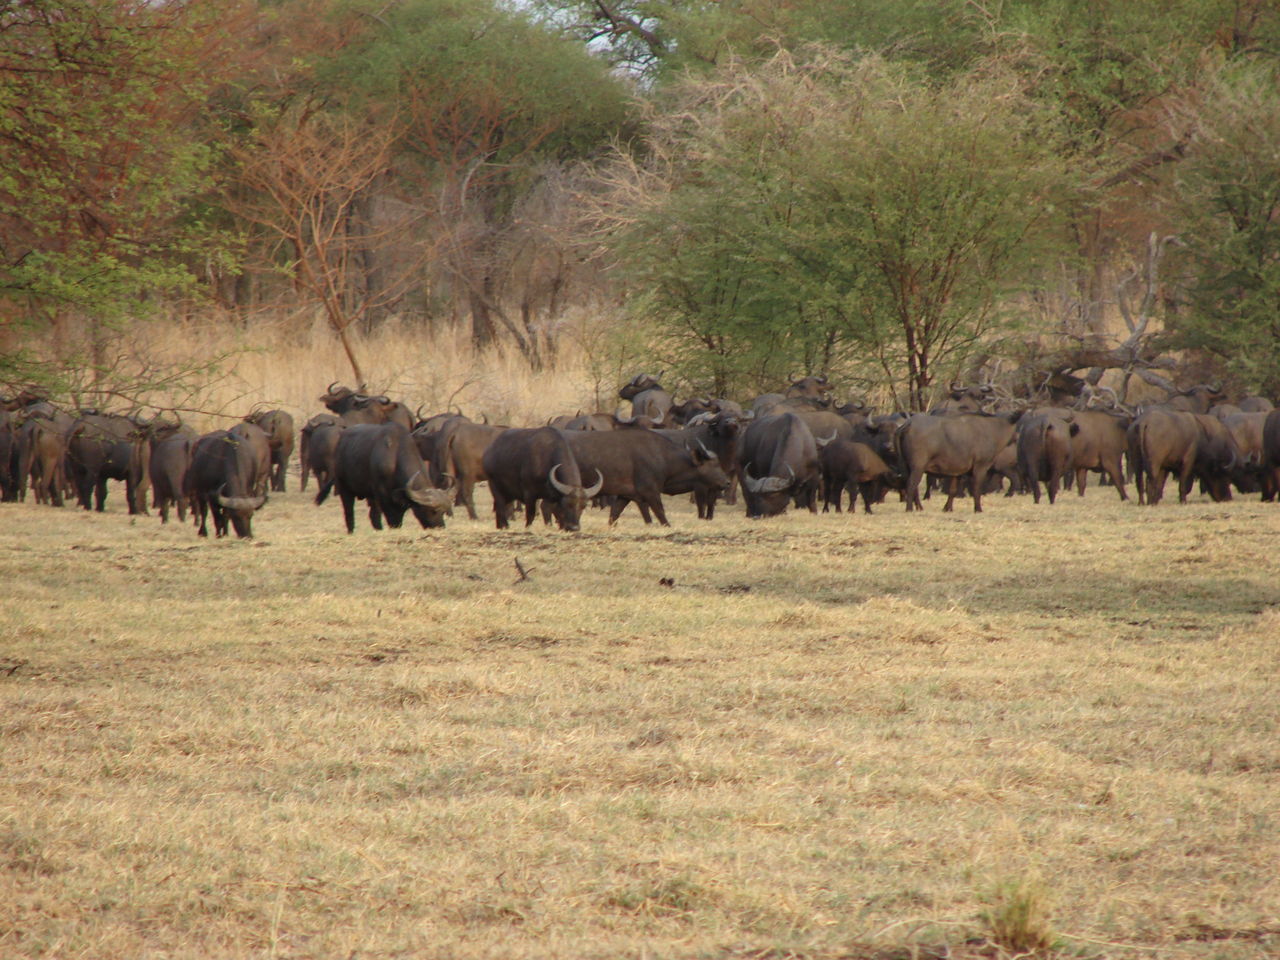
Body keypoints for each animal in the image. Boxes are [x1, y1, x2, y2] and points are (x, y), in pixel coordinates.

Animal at [312, 427, 453, 537]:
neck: (395, 456)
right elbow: (392, 520)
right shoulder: (384, 498)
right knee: (349, 513)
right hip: (345, 488)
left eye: (444, 511)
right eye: (433, 511)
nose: (440, 527)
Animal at [563, 427, 732, 527]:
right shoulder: (650, 493)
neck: (663, 458)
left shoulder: (626, 496)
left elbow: (614, 516)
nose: (727, 483)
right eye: (715, 465)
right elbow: (661, 515)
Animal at [896, 414, 1024, 519]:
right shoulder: (980, 467)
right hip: (917, 467)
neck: (992, 431)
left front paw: (947, 508)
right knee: (911, 485)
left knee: (914, 487)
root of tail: (909, 423)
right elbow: (976, 489)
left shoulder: (957, 472)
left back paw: (919, 507)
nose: (1018, 437)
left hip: (909, 467)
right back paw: (909, 508)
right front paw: (978, 509)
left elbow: (953, 491)